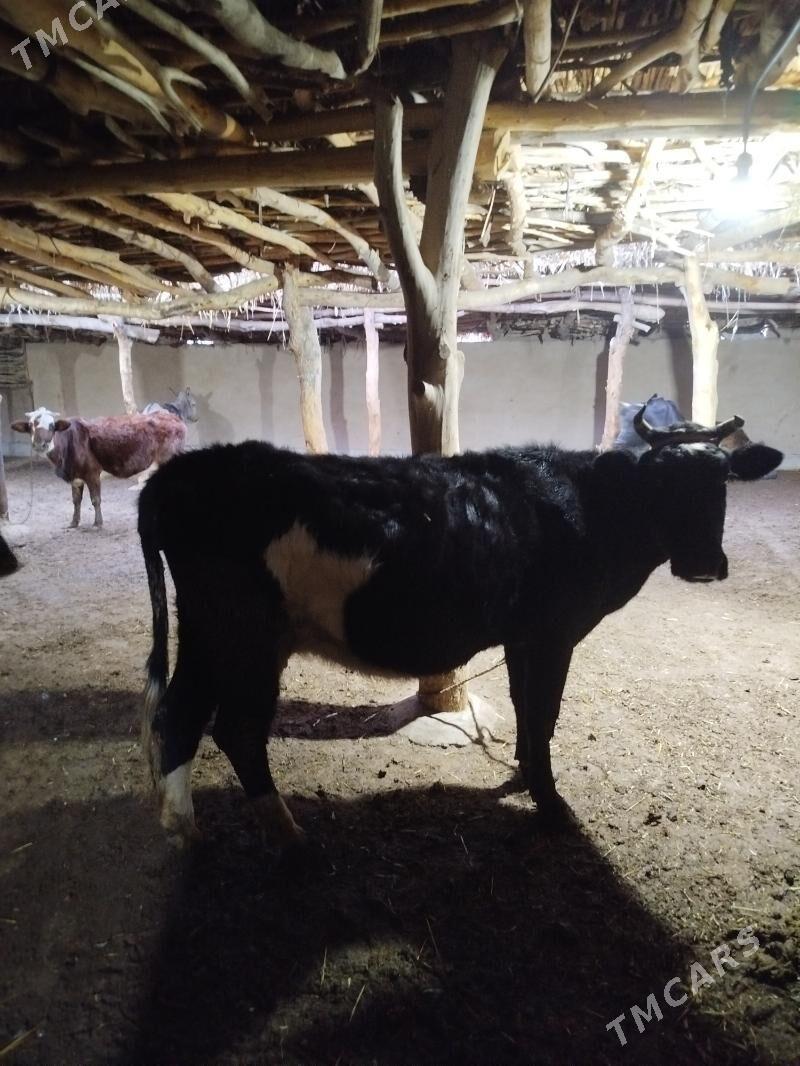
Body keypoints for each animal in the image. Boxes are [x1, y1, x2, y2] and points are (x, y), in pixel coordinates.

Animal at [12, 407, 187, 529]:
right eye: (31, 425)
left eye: (52, 425)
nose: (40, 445)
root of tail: (173, 417)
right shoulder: (76, 478)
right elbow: (76, 501)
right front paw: (74, 523)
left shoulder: (92, 473)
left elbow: (95, 499)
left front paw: (98, 523)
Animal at [138, 409, 782, 850]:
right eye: (661, 482)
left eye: (723, 479)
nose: (702, 564)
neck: (591, 508)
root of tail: (181, 471)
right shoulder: (552, 634)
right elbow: (543, 711)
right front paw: (550, 802)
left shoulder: (523, 637)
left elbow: (526, 707)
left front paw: (524, 771)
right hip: (241, 630)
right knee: (236, 730)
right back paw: (289, 836)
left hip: (215, 635)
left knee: (181, 714)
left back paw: (184, 830)